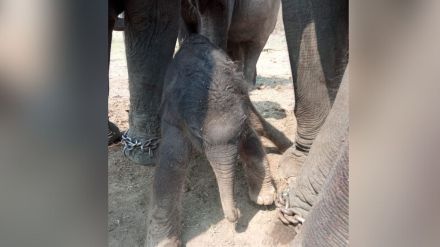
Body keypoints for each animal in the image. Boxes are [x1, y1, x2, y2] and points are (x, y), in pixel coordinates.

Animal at [147, 34, 276, 247]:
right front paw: (164, 243)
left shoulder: (242, 110)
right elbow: (172, 164)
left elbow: (251, 141)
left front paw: (264, 199)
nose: (237, 214)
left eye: (240, 127)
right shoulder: (173, 115)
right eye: (197, 134)